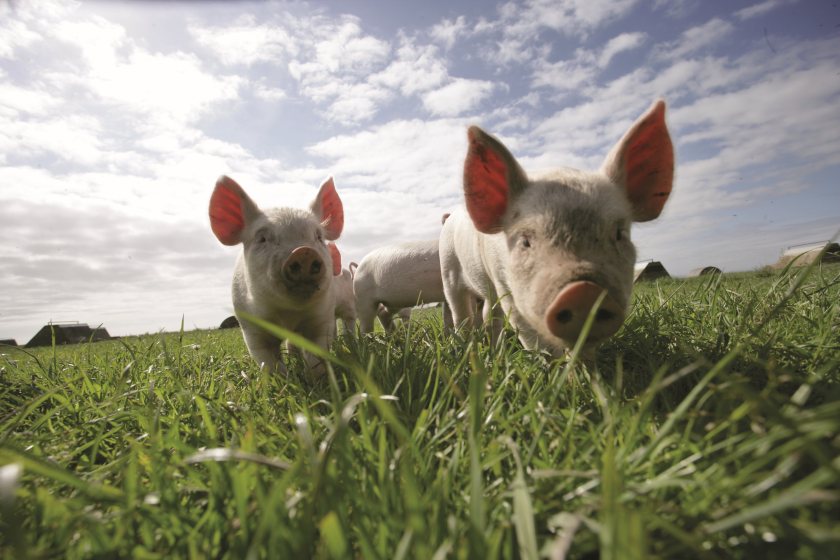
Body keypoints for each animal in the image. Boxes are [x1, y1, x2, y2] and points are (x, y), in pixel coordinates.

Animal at [209, 175, 344, 374]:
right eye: (262, 238)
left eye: (318, 237)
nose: (304, 251)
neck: (289, 313)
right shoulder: (251, 328)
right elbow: (268, 362)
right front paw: (282, 379)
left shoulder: (322, 318)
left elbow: (316, 355)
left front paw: (317, 377)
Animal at [439, 99, 674, 355]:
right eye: (525, 241)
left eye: (619, 234)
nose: (583, 291)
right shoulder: (504, 284)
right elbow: (531, 335)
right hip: (448, 271)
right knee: (462, 315)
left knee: (490, 315)